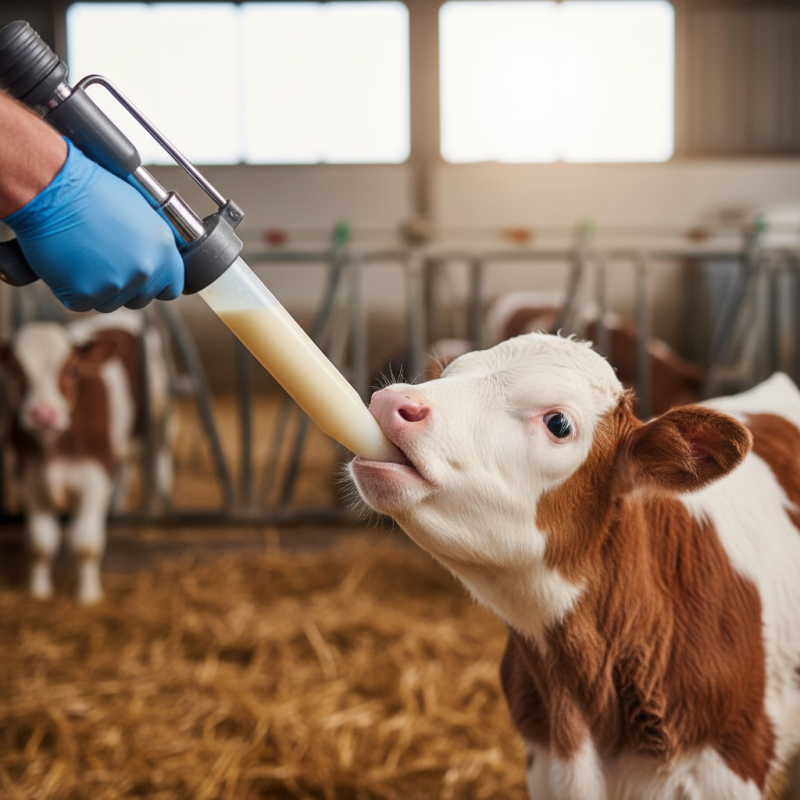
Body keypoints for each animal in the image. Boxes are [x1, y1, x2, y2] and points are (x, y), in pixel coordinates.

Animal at [0, 310, 173, 604]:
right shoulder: (28, 476)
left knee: (160, 462)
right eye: (14, 369)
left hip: (158, 416)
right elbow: (40, 543)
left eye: (71, 370)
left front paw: (88, 596)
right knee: (124, 472)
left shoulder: (95, 474)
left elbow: (85, 542)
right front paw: (39, 592)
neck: (53, 446)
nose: (43, 414)